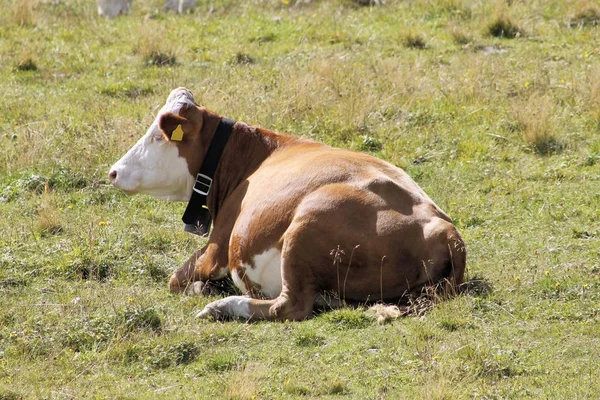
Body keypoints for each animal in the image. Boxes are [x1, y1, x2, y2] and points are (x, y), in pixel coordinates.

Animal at [111, 87, 468, 322]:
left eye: (157, 136)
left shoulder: (217, 247)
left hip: (306, 222)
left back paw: (224, 306)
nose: (114, 171)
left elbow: (176, 280)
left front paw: (204, 290)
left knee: (291, 305)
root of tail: (443, 229)